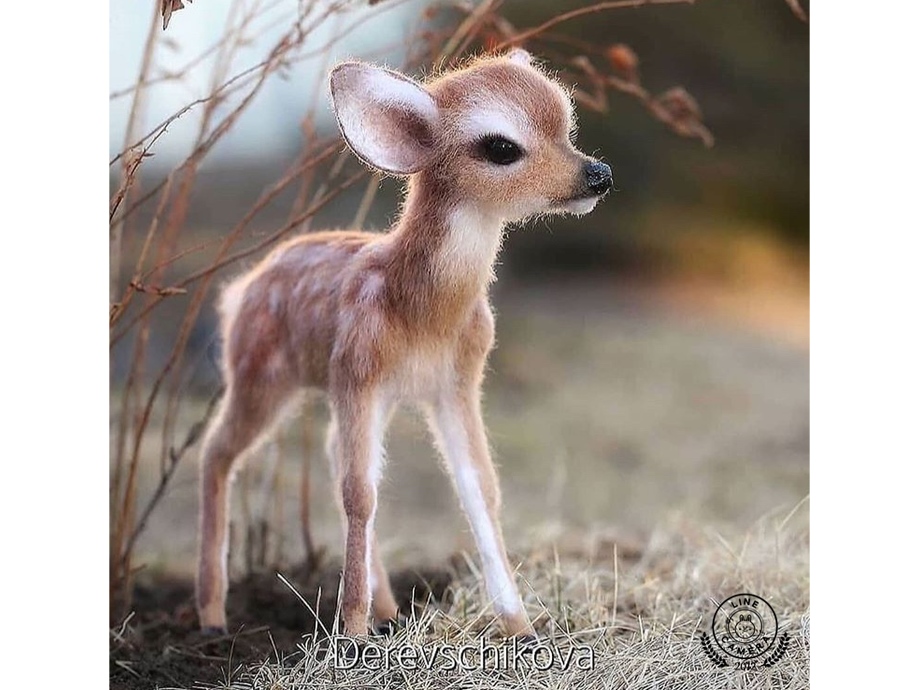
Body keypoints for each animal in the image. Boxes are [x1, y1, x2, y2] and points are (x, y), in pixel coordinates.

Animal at [196, 48, 612, 636]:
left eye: (567, 128)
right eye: (501, 146)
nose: (598, 174)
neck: (422, 315)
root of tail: (239, 290)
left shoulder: (456, 383)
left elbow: (480, 488)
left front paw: (520, 626)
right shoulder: (357, 370)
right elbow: (359, 493)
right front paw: (349, 630)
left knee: (328, 452)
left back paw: (389, 609)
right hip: (261, 372)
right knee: (216, 452)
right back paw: (212, 613)